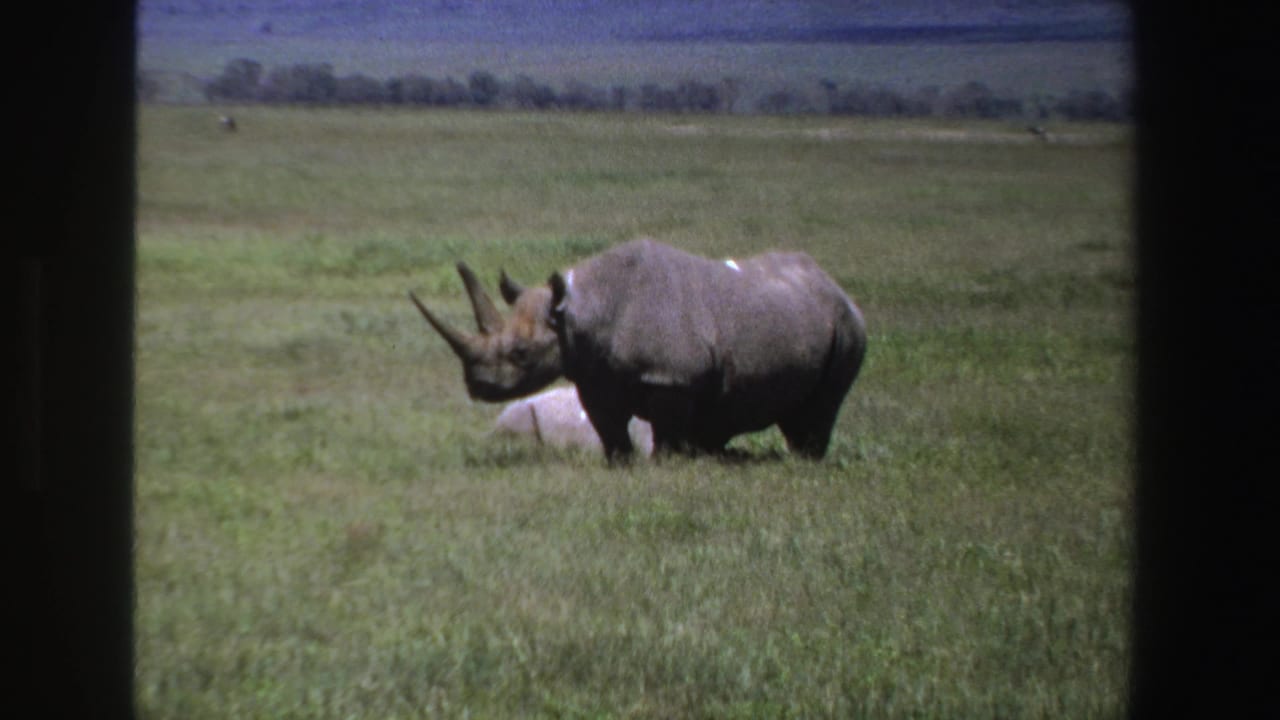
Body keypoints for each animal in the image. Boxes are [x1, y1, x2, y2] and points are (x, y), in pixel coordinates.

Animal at [411, 238, 866, 461]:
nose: (477, 386)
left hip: (848, 328)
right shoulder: (594, 376)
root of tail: (834, 285)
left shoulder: (672, 379)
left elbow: (666, 431)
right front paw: (620, 464)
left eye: (521, 353)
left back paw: (804, 461)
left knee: (822, 408)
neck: (579, 311)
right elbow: (609, 429)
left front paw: (666, 465)